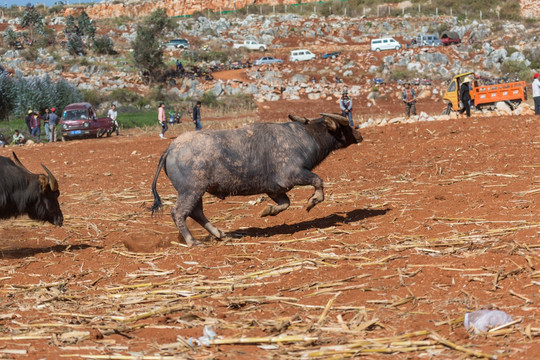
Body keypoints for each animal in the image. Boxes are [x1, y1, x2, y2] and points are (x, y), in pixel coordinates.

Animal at [152, 114, 362, 246]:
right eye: (345, 126)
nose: (359, 134)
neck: (303, 137)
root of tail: (171, 149)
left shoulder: (275, 189)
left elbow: (285, 203)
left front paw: (267, 211)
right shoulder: (294, 174)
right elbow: (318, 181)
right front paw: (312, 202)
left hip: (197, 191)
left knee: (196, 213)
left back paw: (221, 234)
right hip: (191, 190)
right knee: (179, 212)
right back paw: (192, 241)